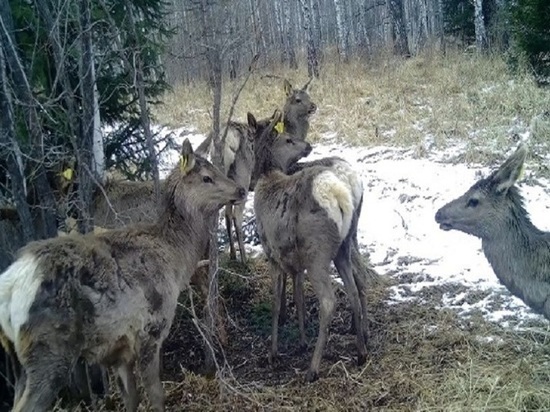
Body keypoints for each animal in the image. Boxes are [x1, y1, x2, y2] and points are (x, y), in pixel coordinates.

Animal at [0, 139, 246, 412]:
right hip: (48, 352)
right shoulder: (151, 329)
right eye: (206, 177)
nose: (241, 190)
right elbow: (156, 395)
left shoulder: (120, 348)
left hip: (17, 358)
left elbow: (132, 398)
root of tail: (10, 288)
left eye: (216, 168)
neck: (176, 258)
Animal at [197, 78, 320, 262]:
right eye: (298, 99)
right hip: (243, 175)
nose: (313, 106)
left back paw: (232, 254)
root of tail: (227, 138)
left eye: (309, 96)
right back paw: (244, 258)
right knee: (236, 216)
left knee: (225, 214)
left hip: (223, 176)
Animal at [253, 110, 370, 384]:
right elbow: (298, 294)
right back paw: (360, 350)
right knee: (355, 286)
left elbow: (276, 302)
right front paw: (302, 339)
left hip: (318, 252)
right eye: (288, 139)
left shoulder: (272, 252)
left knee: (329, 300)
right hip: (343, 245)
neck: (266, 178)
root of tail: (338, 193)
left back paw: (313, 369)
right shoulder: (295, 260)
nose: (307, 145)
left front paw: (273, 352)